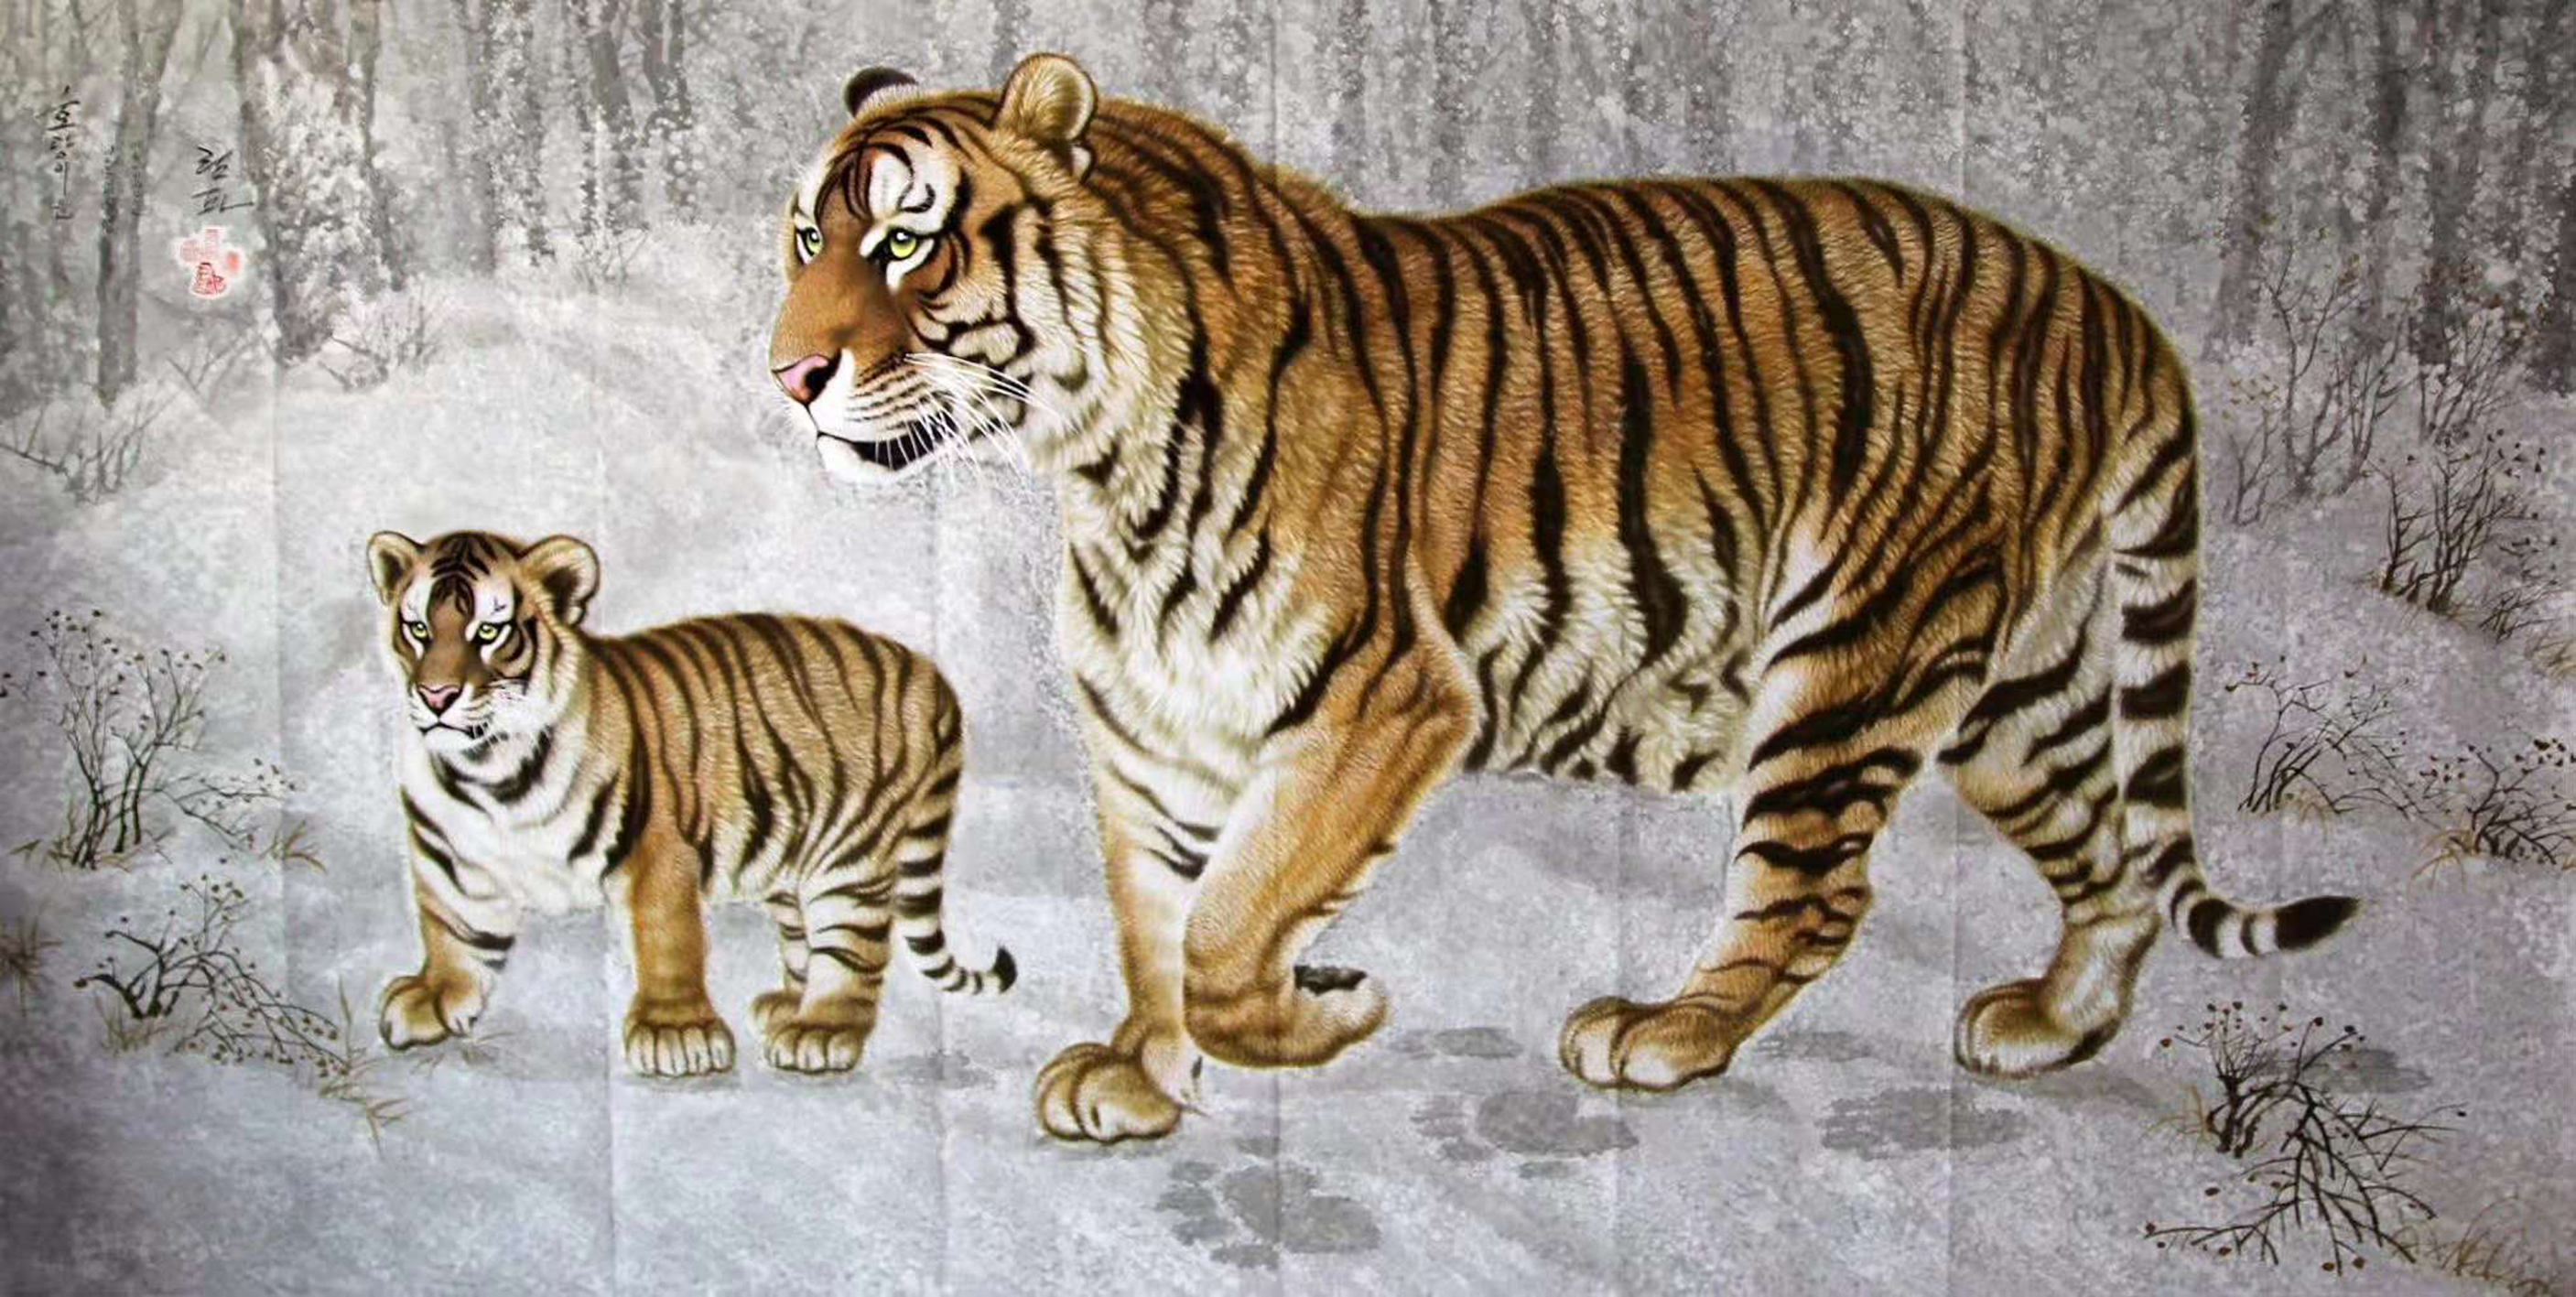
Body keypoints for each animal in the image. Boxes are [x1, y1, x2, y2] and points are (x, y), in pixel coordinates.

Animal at [364, 528, 1014, 1078]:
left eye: (488, 632)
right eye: (418, 628)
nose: (437, 695)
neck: (489, 769)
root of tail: (926, 670)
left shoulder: (655, 850)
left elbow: (668, 940)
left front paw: (674, 1033)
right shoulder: (450, 854)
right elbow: (454, 929)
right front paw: (434, 997)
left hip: (850, 858)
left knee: (853, 950)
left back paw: (821, 1030)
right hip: (790, 855)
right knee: (802, 935)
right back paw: (787, 1005)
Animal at [763, 53, 2359, 1142]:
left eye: (905, 241)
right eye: (807, 238)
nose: (786, 375)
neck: (1099, 469)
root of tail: (2107, 304)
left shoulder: (1385, 696)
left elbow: (1226, 925)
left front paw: (1328, 1012)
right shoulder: (1156, 731)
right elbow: (1155, 917)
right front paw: (1143, 1079)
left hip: (1849, 656)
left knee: (1817, 891)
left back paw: (1663, 1034)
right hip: (2015, 691)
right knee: (2110, 849)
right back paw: (2047, 1026)